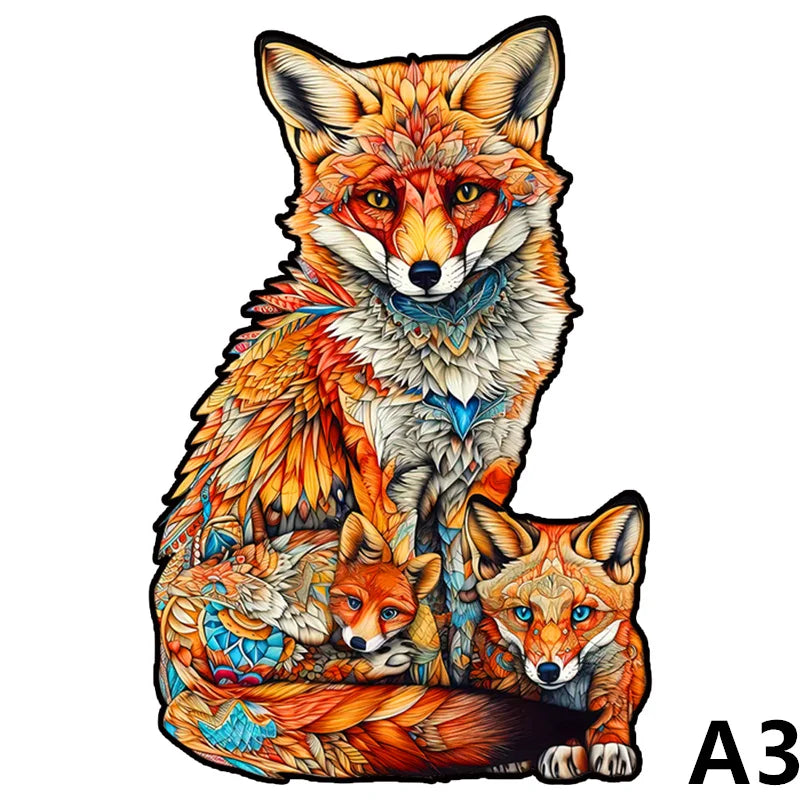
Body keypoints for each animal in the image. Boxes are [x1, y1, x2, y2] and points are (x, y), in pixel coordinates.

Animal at [155, 16, 576, 684]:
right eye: (379, 200)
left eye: (465, 194)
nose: (426, 273)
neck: (450, 363)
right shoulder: (386, 477)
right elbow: (415, 601)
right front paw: (428, 682)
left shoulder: (484, 472)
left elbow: (466, 595)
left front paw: (471, 678)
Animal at [466, 495, 648, 781]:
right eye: (524, 613)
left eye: (580, 613)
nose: (549, 671)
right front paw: (560, 748)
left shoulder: (617, 659)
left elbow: (612, 704)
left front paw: (611, 744)